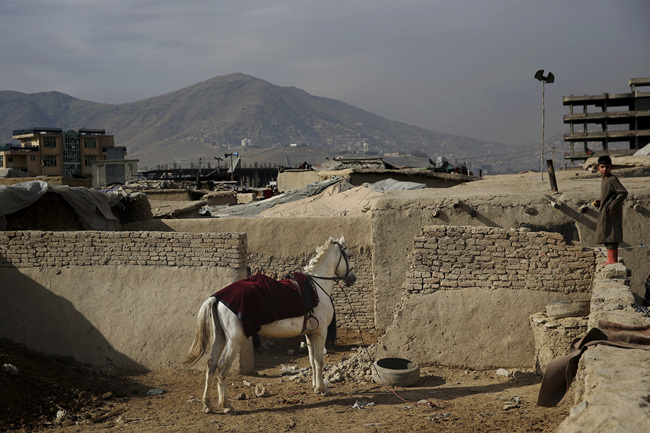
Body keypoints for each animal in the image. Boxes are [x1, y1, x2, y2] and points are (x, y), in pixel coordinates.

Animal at [182, 235, 354, 414]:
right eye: (349, 255)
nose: (352, 278)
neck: (316, 288)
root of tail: (218, 297)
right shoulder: (320, 332)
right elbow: (319, 361)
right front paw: (322, 389)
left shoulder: (310, 333)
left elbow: (312, 360)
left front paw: (316, 386)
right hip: (234, 341)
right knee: (222, 367)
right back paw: (226, 405)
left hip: (221, 337)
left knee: (211, 364)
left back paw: (207, 404)